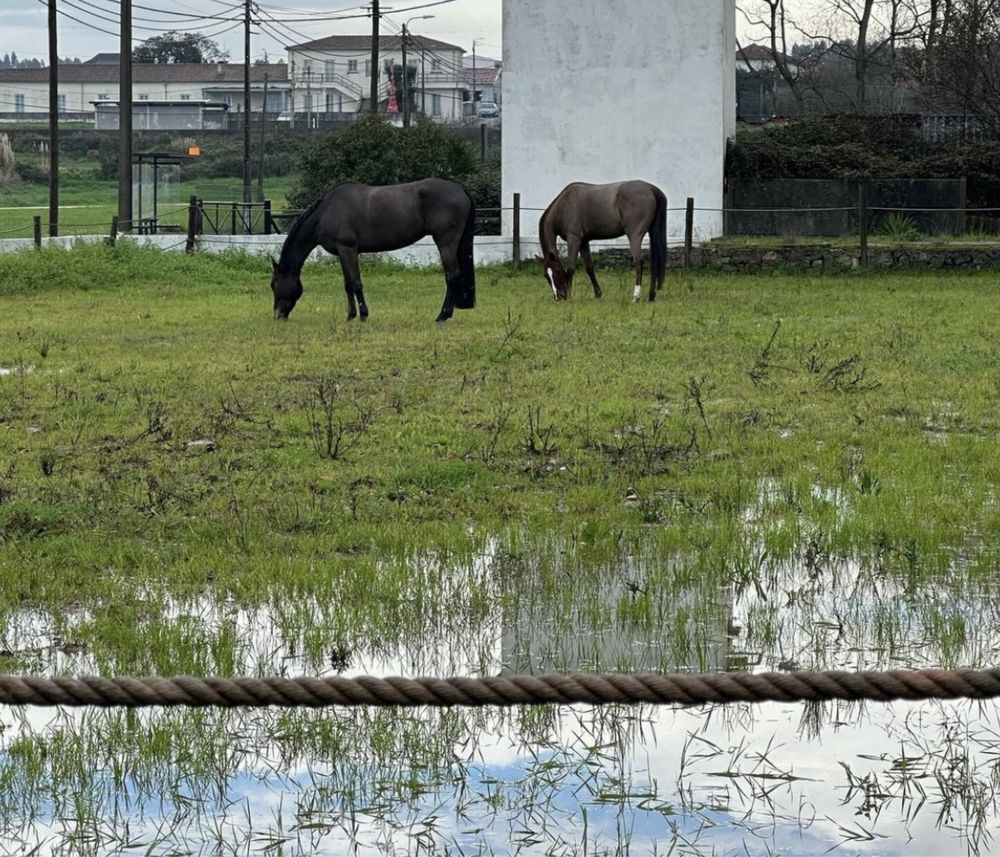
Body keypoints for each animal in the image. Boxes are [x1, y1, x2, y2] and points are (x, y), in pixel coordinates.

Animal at [270, 176, 476, 320]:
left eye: (273, 284)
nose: (277, 315)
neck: (326, 213)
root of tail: (460, 190)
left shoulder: (348, 249)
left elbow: (355, 283)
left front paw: (363, 315)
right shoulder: (342, 252)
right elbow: (347, 284)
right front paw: (350, 316)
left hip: (446, 243)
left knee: (452, 277)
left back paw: (442, 316)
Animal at [536, 179, 668, 302]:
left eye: (557, 271)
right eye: (546, 276)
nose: (558, 296)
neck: (564, 204)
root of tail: (651, 189)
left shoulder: (574, 239)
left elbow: (571, 268)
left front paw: (569, 294)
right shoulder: (583, 242)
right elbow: (589, 268)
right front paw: (598, 294)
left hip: (635, 236)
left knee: (639, 262)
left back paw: (636, 297)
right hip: (652, 232)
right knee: (654, 262)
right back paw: (651, 296)